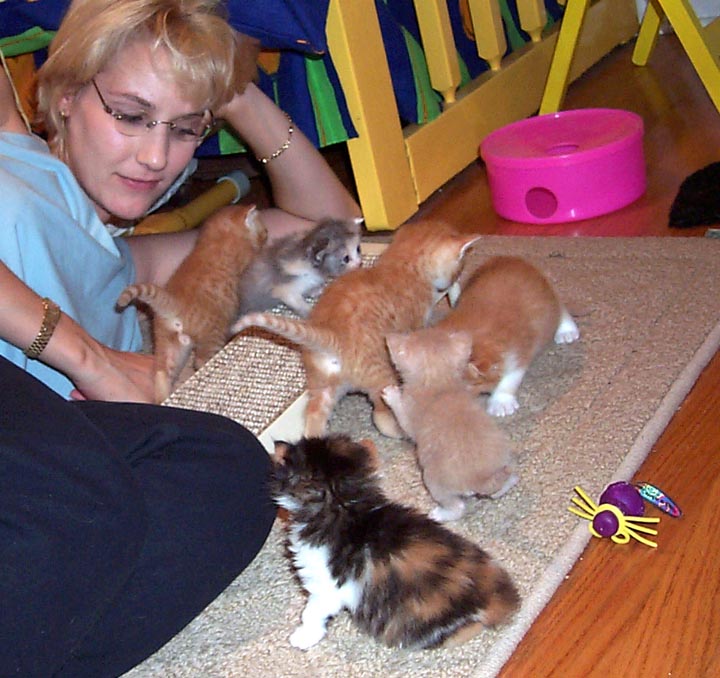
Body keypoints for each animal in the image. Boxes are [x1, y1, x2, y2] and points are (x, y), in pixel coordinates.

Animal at [117, 203, 267, 402]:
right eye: (264, 232)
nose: (266, 236)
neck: (217, 236)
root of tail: (174, 302)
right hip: (213, 335)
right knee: (202, 361)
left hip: (170, 347)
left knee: (161, 374)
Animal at [231, 220, 480, 438]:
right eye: (460, 266)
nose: (459, 273)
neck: (400, 264)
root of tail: (330, 333)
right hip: (379, 376)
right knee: (382, 417)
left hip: (321, 388)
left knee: (313, 420)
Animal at [270, 434, 521, 650]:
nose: (278, 445)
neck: (345, 507)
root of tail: (496, 596)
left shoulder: (326, 586)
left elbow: (311, 612)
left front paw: (304, 636)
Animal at [383, 327, 518, 521]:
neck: (439, 382)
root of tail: (481, 478)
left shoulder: (409, 416)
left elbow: (403, 419)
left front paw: (391, 394)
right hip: (504, 463)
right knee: (503, 486)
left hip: (432, 479)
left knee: (457, 507)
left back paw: (439, 514)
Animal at [438, 255, 580, 416]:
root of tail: (513, 259)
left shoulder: (518, 352)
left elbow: (509, 379)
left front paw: (501, 403)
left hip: (548, 301)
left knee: (561, 309)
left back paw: (566, 331)